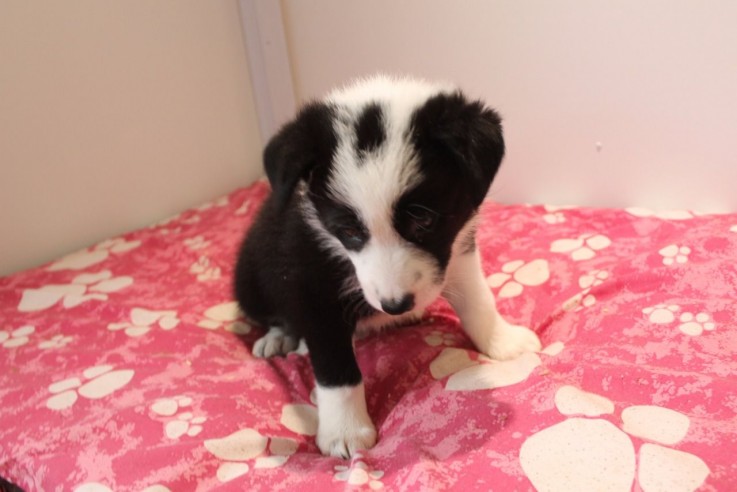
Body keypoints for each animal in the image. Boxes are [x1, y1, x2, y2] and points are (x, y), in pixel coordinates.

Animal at [234, 75, 540, 460]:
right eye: (349, 231)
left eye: (424, 220)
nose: (396, 306)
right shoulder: (309, 278)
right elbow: (334, 365)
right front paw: (345, 432)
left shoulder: (457, 249)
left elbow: (478, 300)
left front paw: (503, 341)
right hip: (250, 276)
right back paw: (279, 338)